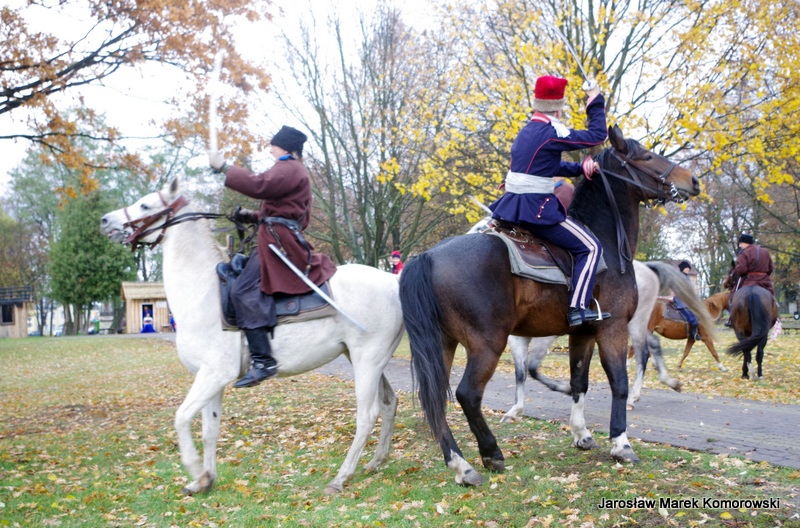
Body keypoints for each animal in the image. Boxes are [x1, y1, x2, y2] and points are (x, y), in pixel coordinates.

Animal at [100, 177, 404, 495]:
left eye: (145, 205)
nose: (105, 220)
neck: (204, 293)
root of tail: (392, 280)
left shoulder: (214, 374)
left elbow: (181, 417)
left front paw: (195, 469)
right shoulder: (210, 379)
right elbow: (210, 430)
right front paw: (205, 479)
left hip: (367, 360)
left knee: (366, 416)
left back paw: (340, 477)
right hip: (365, 360)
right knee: (389, 403)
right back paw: (375, 461)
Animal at [398, 125, 699, 486]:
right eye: (646, 156)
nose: (693, 181)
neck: (606, 242)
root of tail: (428, 256)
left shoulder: (582, 333)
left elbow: (579, 382)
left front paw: (581, 433)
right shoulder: (612, 329)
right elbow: (619, 383)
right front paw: (621, 443)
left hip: (444, 344)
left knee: (436, 401)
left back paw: (460, 464)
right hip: (487, 343)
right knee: (467, 395)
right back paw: (490, 454)